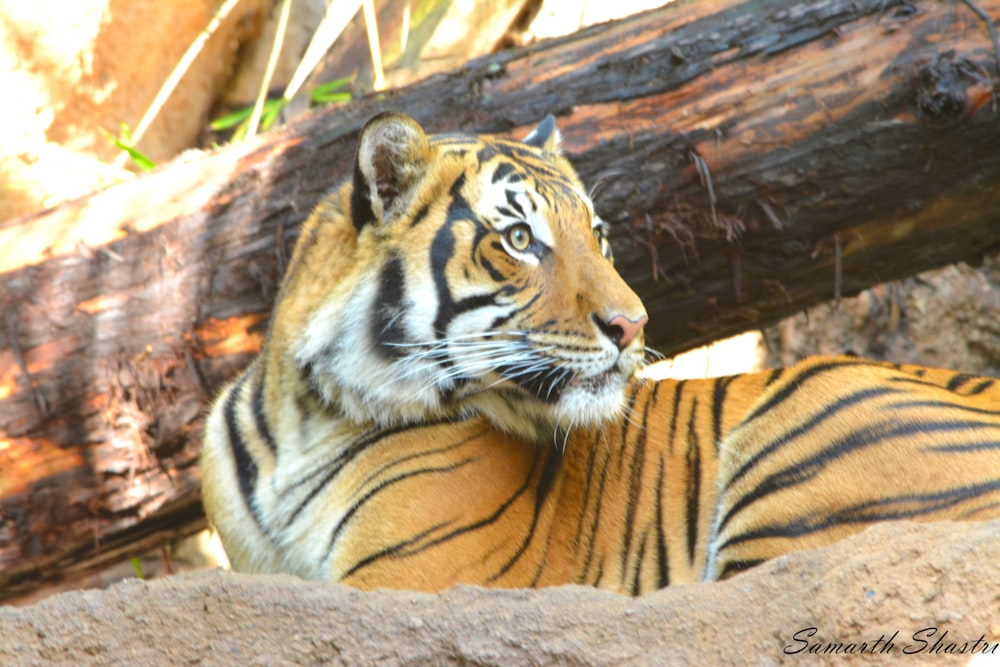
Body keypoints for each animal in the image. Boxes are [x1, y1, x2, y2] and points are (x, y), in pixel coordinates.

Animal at [199, 112, 1000, 596]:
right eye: (520, 239)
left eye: (599, 235)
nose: (633, 323)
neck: (308, 414)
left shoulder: (404, 581)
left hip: (816, 427)